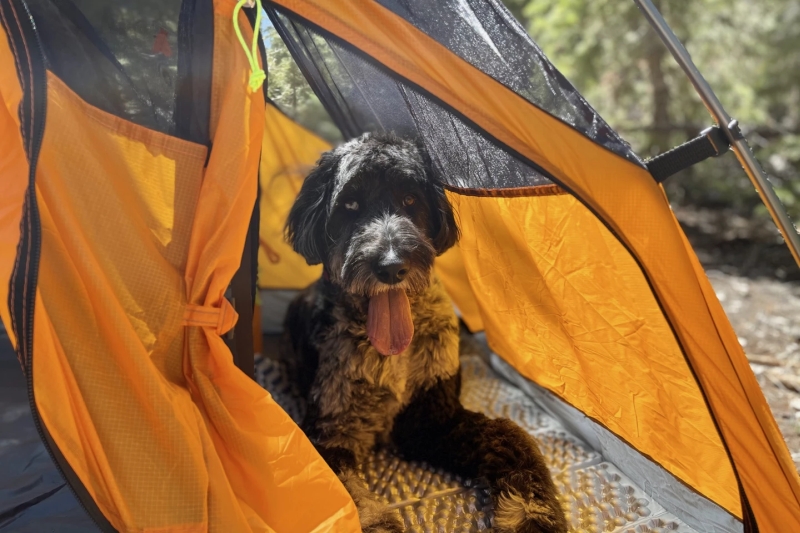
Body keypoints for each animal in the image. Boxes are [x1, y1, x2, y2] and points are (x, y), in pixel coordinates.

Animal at [282, 132, 568, 532]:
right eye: (350, 204)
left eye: (410, 199)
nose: (391, 266)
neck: (393, 356)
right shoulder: (331, 432)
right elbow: (350, 498)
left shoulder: (433, 418)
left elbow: (511, 437)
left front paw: (532, 514)